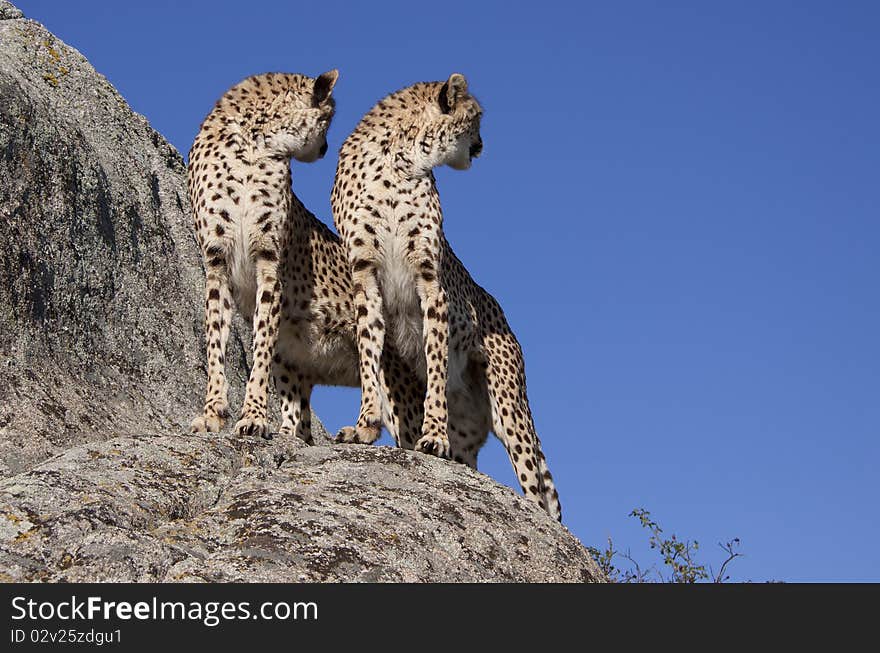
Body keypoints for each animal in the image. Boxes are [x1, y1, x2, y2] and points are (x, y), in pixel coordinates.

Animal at [189, 70, 340, 438]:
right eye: (327, 119)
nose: (325, 148)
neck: (256, 143)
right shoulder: (217, 262)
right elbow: (215, 339)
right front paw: (213, 411)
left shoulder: (269, 262)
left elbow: (262, 342)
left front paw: (254, 415)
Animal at [330, 72, 564, 520]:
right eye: (476, 117)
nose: (482, 145)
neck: (400, 160)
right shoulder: (365, 278)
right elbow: (369, 356)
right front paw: (365, 426)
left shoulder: (429, 281)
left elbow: (436, 361)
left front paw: (433, 435)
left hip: (509, 406)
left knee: (538, 487)